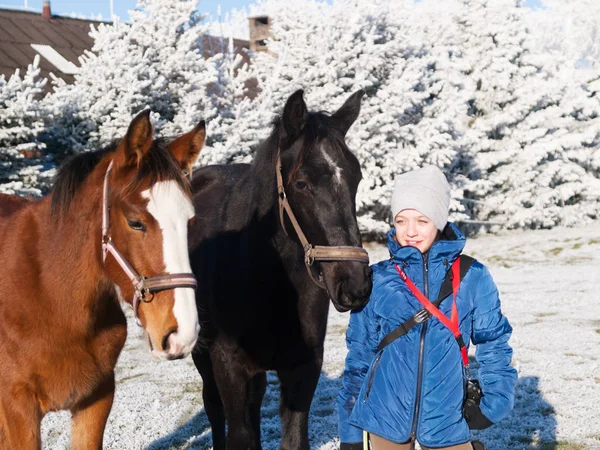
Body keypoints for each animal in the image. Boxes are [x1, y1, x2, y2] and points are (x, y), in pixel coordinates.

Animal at [190, 90, 372, 450]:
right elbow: (238, 434)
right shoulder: (227, 365)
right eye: (301, 183)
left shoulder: (303, 366)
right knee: (213, 407)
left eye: (356, 177)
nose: (354, 284)